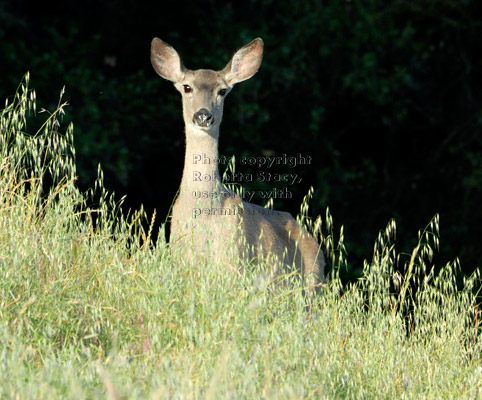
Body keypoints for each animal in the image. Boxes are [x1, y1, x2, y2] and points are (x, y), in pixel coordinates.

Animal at [151, 37, 324, 292]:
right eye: (187, 87)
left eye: (222, 90)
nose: (203, 116)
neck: (203, 213)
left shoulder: (234, 260)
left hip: (312, 285)